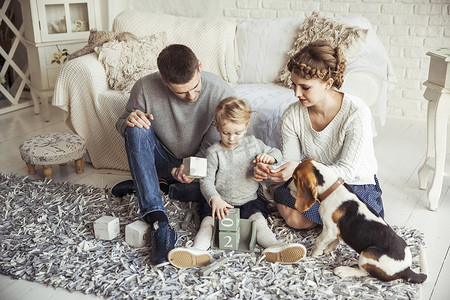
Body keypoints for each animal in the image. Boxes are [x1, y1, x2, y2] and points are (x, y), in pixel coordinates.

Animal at [290, 158, 428, 282]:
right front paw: (328, 249)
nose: (287, 186)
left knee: (364, 272)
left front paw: (314, 253)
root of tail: (406, 269)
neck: (332, 188)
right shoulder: (337, 231)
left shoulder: (329, 229)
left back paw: (343, 270)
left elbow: (319, 241)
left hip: (367, 252)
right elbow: (336, 240)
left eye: (295, 178)